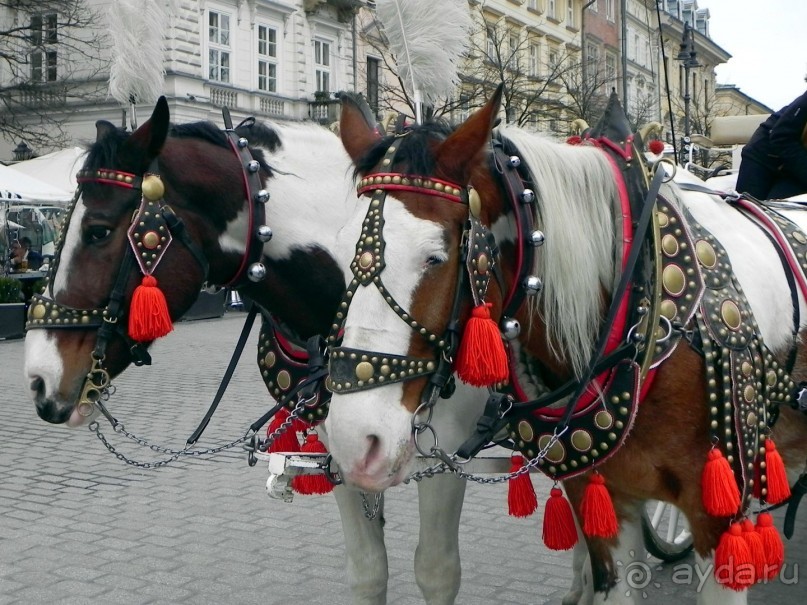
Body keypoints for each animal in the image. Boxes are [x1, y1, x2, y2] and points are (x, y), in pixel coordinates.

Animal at [22, 96, 486, 604]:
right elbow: (368, 569)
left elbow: (436, 570)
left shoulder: (442, 454)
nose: (39, 379)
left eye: (98, 232)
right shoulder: (344, 442)